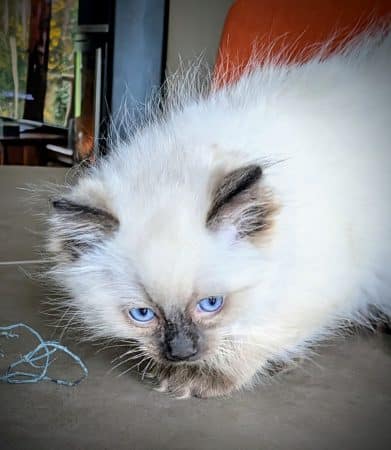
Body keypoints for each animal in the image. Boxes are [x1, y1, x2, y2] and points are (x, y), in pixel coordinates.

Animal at [46, 31, 391, 398]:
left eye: (211, 304)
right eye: (142, 314)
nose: (181, 353)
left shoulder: (326, 282)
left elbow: (261, 329)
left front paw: (204, 374)